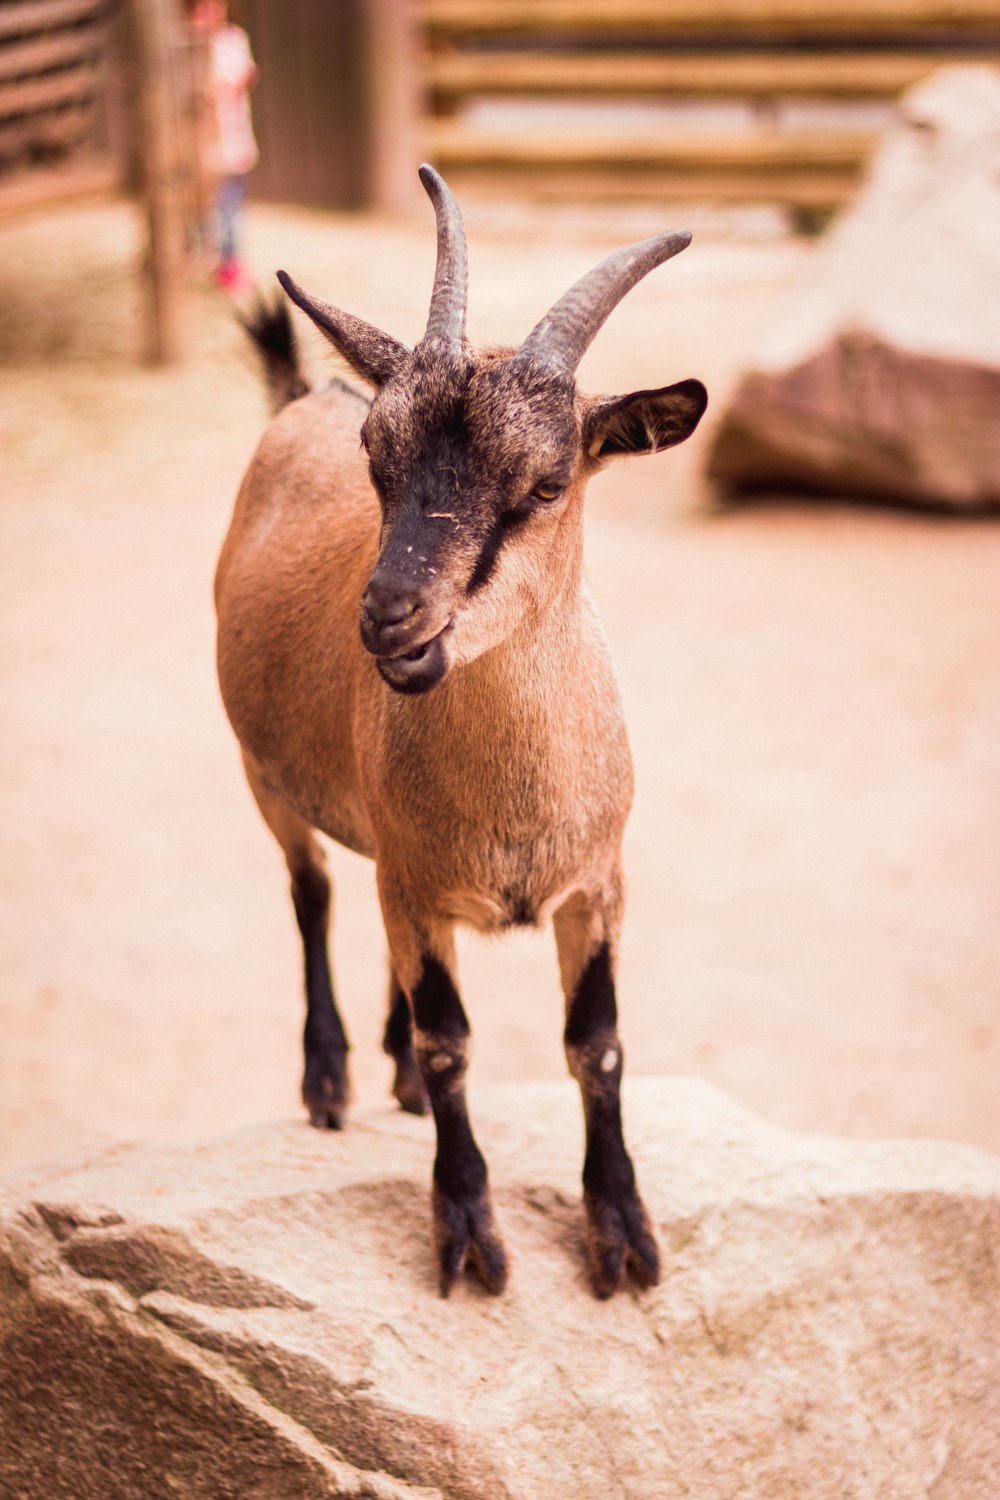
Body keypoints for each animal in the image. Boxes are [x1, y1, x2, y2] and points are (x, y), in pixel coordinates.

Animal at [215, 161, 707, 1290]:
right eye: (375, 457)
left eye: (547, 483)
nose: (390, 616)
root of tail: (303, 395)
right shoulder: (408, 875)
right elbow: (453, 1042)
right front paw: (470, 1234)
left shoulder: (597, 883)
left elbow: (596, 1043)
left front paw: (623, 1234)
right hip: (265, 778)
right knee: (312, 894)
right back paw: (330, 1079)